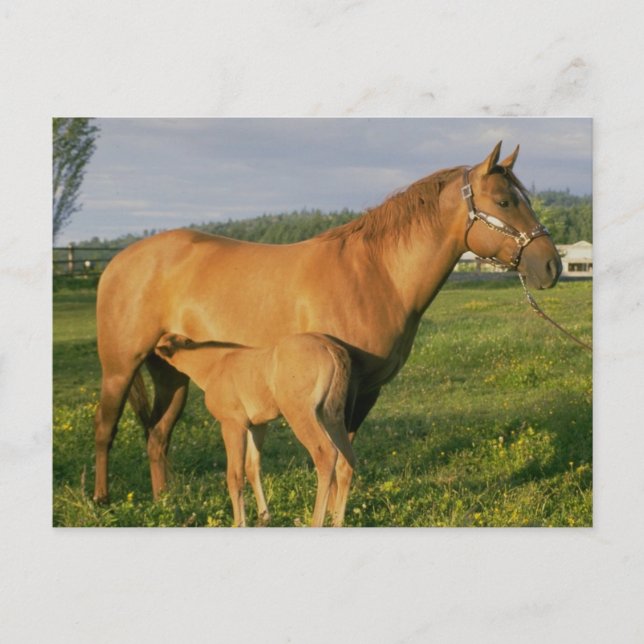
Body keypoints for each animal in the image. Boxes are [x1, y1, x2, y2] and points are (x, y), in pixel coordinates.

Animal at [153, 332, 355, 527]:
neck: (213, 366)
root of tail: (331, 348)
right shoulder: (257, 426)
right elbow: (252, 467)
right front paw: (264, 517)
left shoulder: (232, 425)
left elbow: (234, 476)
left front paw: (240, 523)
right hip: (331, 417)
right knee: (346, 462)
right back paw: (337, 522)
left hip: (300, 415)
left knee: (326, 454)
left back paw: (316, 522)